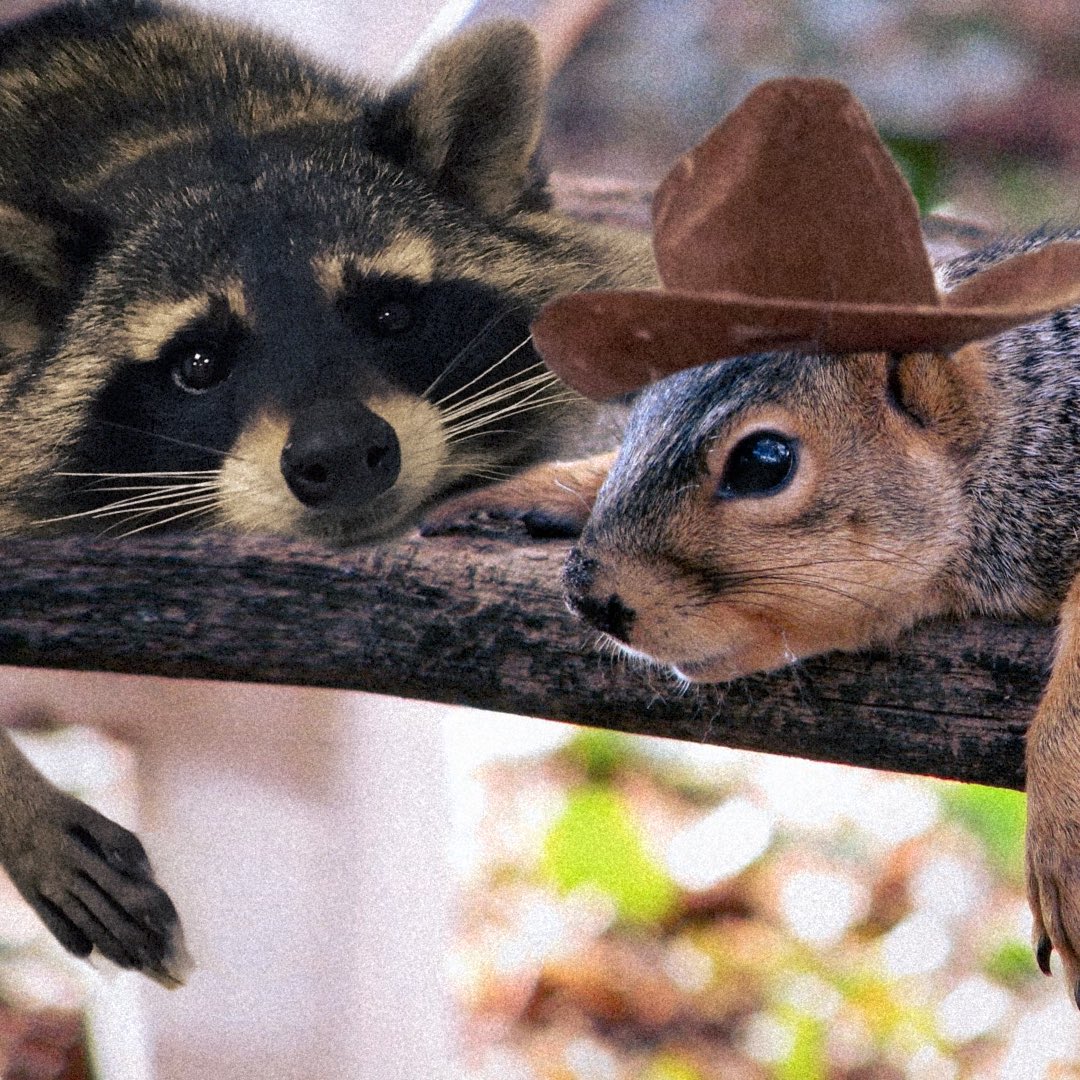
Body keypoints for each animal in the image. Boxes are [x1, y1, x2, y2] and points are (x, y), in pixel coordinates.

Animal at [428, 78, 1080, 1005]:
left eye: (765, 461)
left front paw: (1060, 830)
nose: (591, 595)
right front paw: (538, 490)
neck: (1017, 427)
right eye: (641, 406)